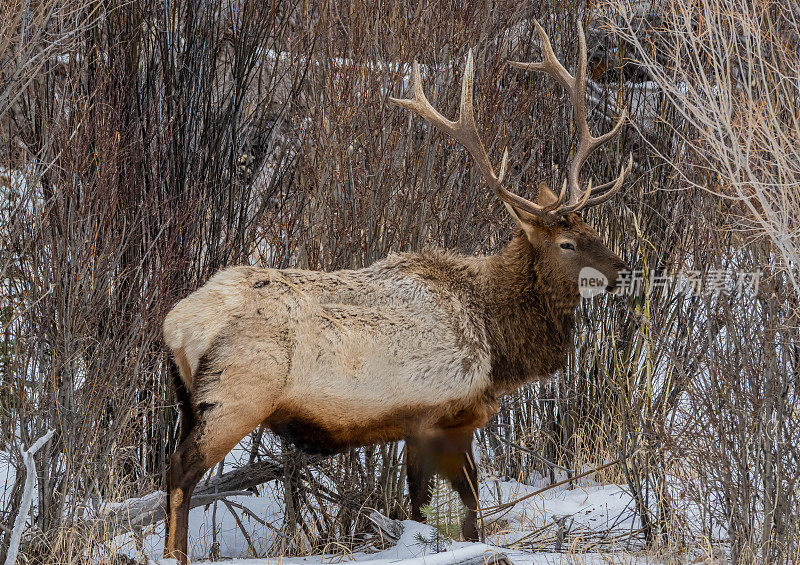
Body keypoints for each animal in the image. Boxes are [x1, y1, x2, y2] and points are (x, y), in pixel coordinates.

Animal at [161, 19, 632, 560]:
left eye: (593, 228)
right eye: (567, 243)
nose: (624, 268)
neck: (498, 346)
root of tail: (176, 324)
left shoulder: (416, 426)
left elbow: (429, 507)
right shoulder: (442, 415)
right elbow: (461, 510)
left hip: (188, 400)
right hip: (236, 395)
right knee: (180, 471)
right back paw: (173, 554)